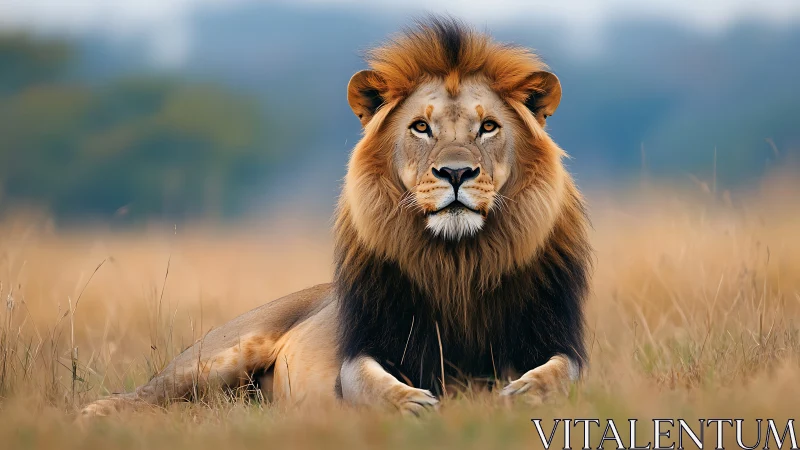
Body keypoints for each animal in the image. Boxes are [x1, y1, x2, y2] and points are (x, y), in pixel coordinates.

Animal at [80, 17, 591, 418]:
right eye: (420, 127)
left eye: (488, 127)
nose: (456, 172)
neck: (457, 264)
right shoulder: (363, 351)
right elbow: (367, 383)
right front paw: (411, 404)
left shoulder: (561, 343)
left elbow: (562, 374)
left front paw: (525, 393)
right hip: (215, 357)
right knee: (149, 392)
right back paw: (96, 413)